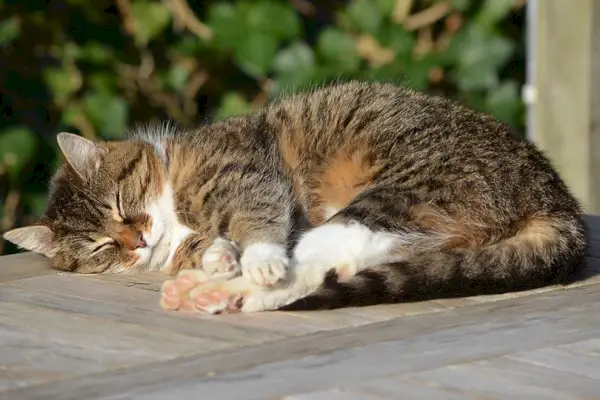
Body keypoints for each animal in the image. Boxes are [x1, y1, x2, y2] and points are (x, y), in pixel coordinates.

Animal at [3, 80, 584, 312]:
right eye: (103, 248)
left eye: (122, 205)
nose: (136, 240)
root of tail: (555, 196)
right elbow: (219, 245)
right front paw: (214, 257)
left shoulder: (248, 174)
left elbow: (259, 222)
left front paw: (247, 257)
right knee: (341, 263)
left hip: (394, 193)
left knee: (307, 263)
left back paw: (222, 291)